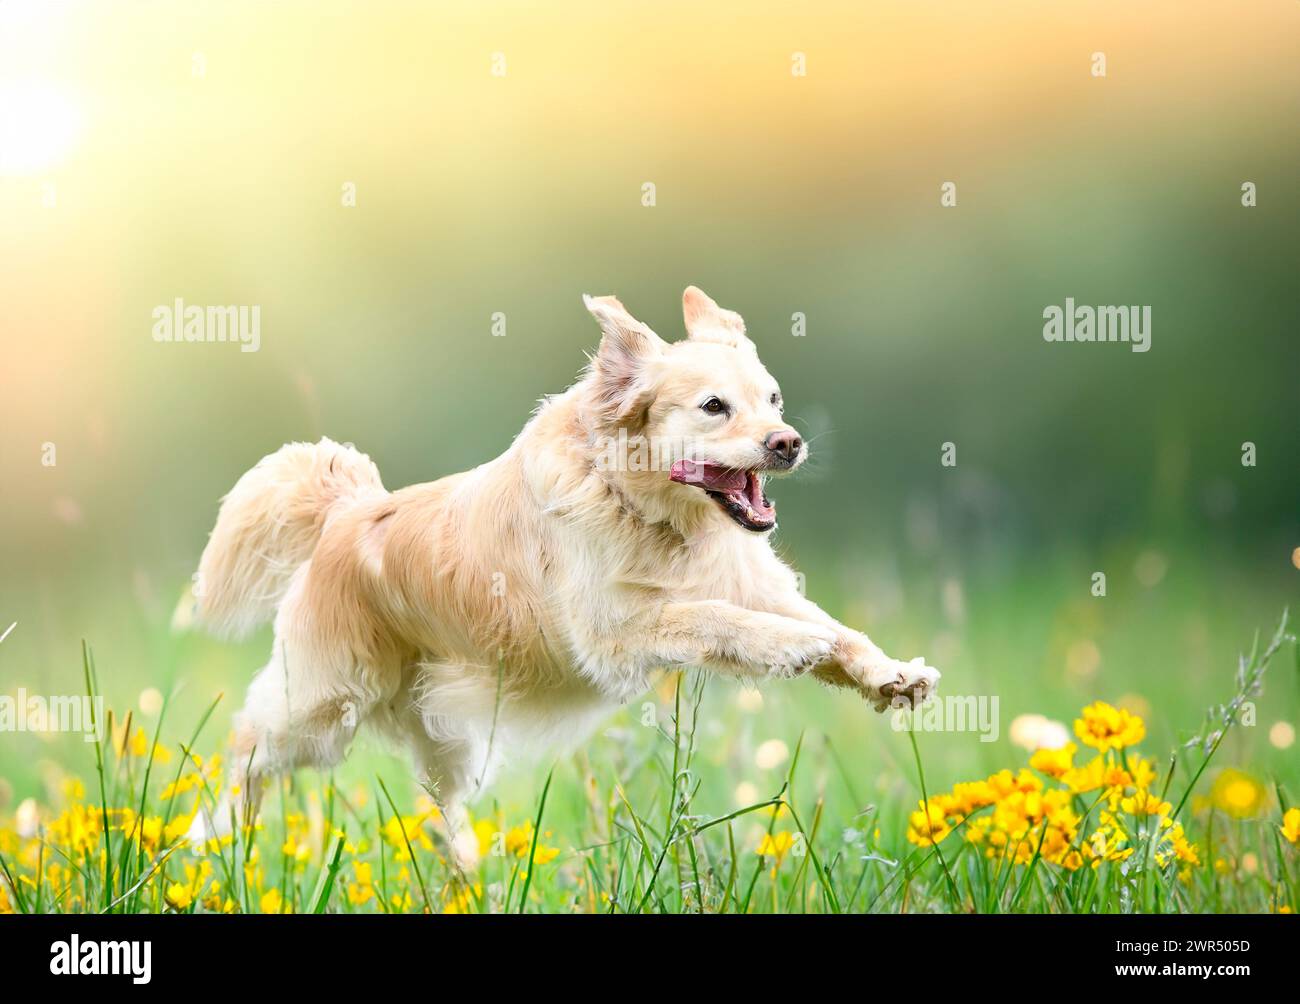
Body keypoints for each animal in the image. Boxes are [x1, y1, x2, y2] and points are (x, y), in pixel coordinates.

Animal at [185, 288, 935, 863]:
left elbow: (839, 633)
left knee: (441, 807)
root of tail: (349, 509)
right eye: (713, 406)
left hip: (445, 734)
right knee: (245, 750)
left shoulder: (757, 584)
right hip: (320, 703)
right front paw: (790, 647)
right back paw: (205, 841)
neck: (655, 517)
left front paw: (894, 676)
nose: (789, 442)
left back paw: (469, 873)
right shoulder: (617, 634)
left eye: (774, 399)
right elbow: (719, 619)